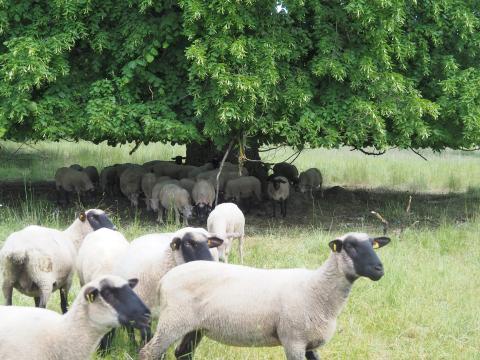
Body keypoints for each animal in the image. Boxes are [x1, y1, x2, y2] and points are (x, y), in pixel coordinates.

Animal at [138, 232, 390, 358]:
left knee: (182, 354)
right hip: (172, 323)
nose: (379, 269)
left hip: (194, 327)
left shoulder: (311, 344)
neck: (317, 289)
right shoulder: (293, 341)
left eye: (373, 244)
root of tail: (165, 279)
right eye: (352, 247)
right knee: (148, 353)